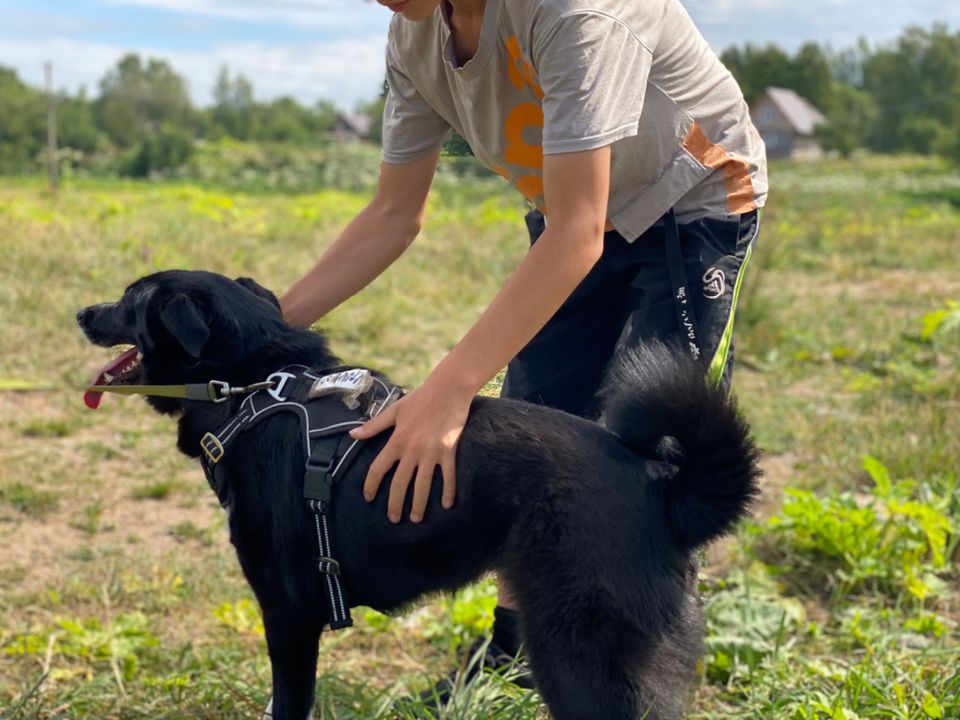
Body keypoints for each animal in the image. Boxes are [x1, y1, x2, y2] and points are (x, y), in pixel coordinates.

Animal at [79, 270, 760, 720]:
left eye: (131, 300)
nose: (82, 312)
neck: (251, 388)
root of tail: (660, 484)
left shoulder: (288, 614)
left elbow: (288, 703)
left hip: (580, 658)